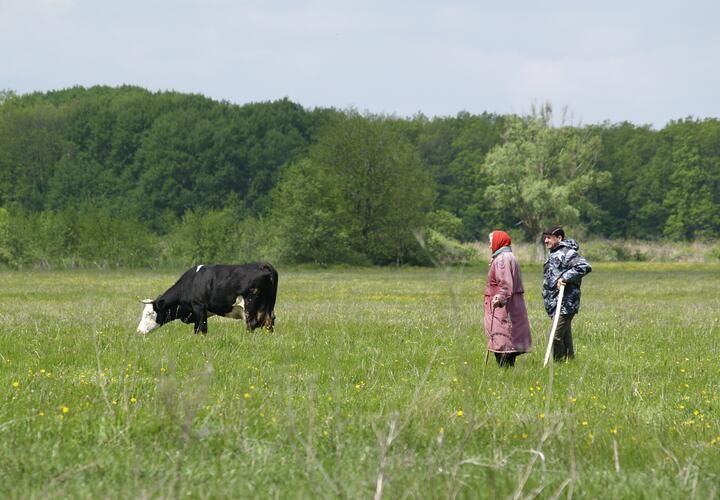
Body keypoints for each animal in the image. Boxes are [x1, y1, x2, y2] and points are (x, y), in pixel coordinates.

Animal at [137, 263, 278, 335]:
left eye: (149, 314)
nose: (139, 331)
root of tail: (263, 265)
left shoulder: (199, 308)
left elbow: (202, 329)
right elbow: (196, 329)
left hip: (250, 307)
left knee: (252, 324)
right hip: (269, 307)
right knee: (269, 323)